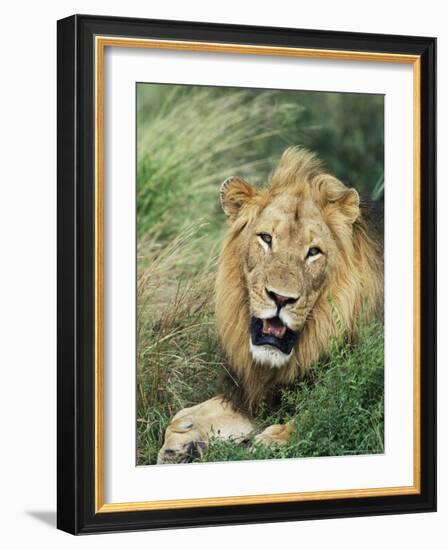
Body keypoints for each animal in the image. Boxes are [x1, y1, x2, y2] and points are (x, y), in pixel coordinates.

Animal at [157, 148, 382, 466]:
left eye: (314, 252)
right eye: (266, 238)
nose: (281, 298)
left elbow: (321, 416)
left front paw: (272, 442)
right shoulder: (258, 394)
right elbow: (181, 415)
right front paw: (181, 444)